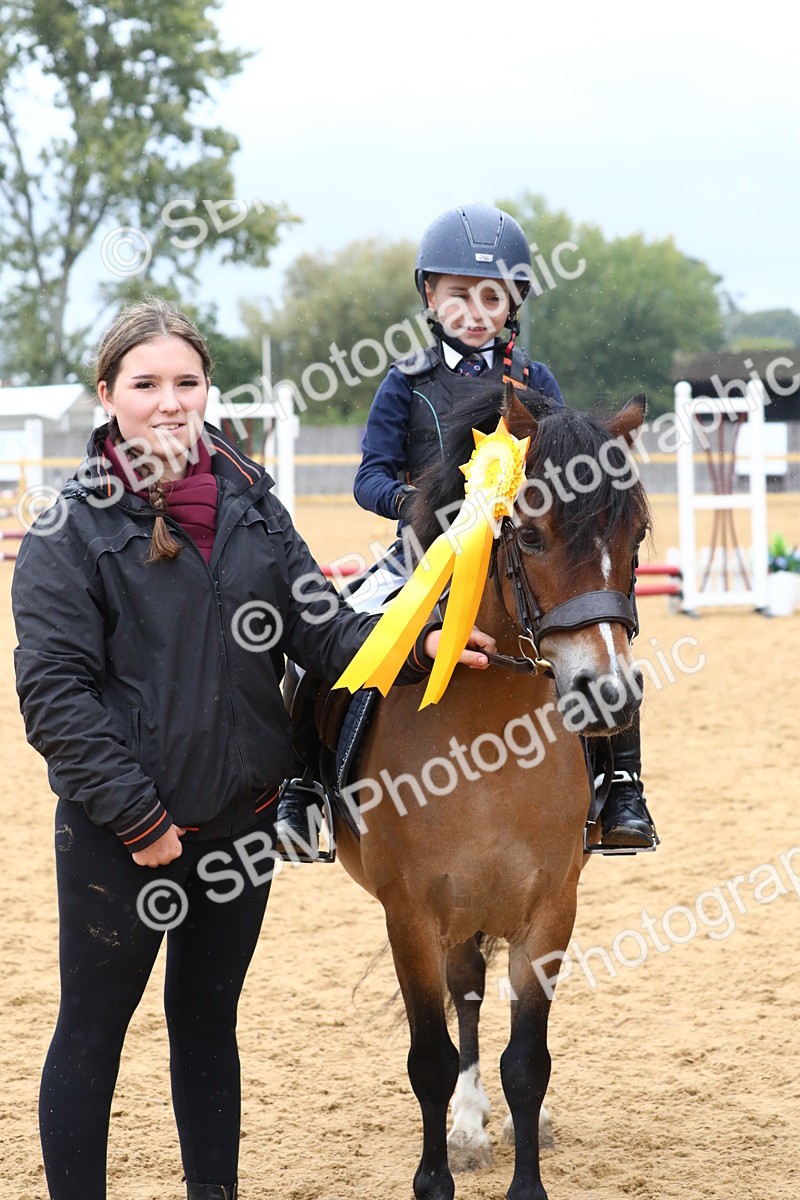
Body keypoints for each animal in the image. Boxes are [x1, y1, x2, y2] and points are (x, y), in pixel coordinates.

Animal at [332, 381, 652, 1200]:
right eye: (531, 535)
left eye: (636, 536)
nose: (608, 695)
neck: (488, 740)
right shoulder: (411, 915)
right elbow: (430, 1060)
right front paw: (438, 1172)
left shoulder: (550, 911)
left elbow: (527, 1062)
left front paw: (526, 1176)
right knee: (465, 997)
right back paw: (470, 1126)